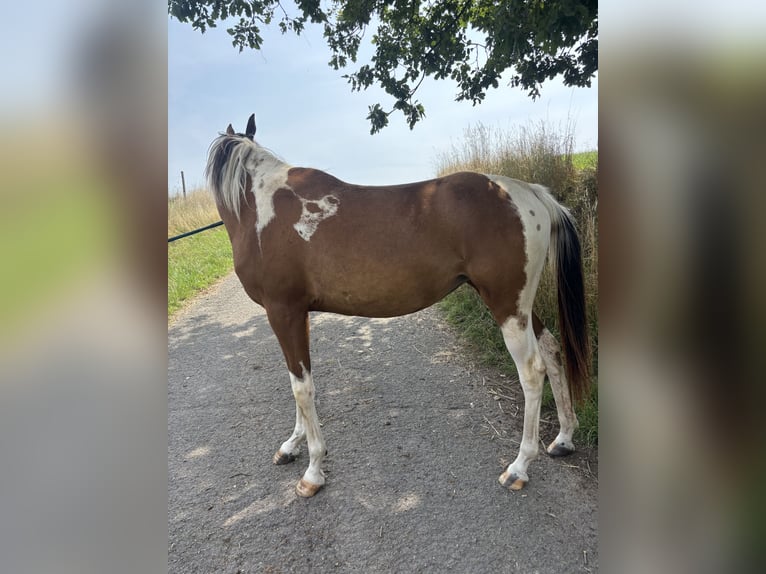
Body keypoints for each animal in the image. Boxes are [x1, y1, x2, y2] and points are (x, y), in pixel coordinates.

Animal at [205, 114, 590, 497]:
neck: (261, 209)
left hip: (506, 304)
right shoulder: (295, 314)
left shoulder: (283, 311)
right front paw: (292, 446)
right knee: (552, 350)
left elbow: (301, 386)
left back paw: (519, 466)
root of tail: (530, 193)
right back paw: (563, 438)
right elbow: (300, 378)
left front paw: (313, 471)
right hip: (517, 304)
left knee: (532, 371)